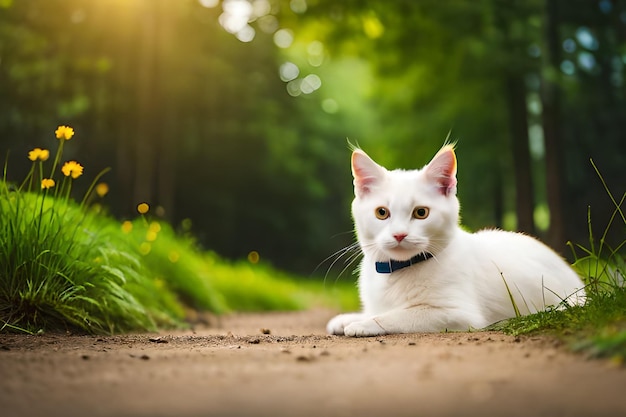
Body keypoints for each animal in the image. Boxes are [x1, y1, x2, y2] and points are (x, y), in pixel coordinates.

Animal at [326, 145, 584, 336]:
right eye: (382, 213)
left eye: (421, 213)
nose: (399, 234)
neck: (399, 269)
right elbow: (376, 310)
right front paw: (350, 318)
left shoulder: (459, 314)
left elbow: (399, 315)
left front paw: (364, 323)